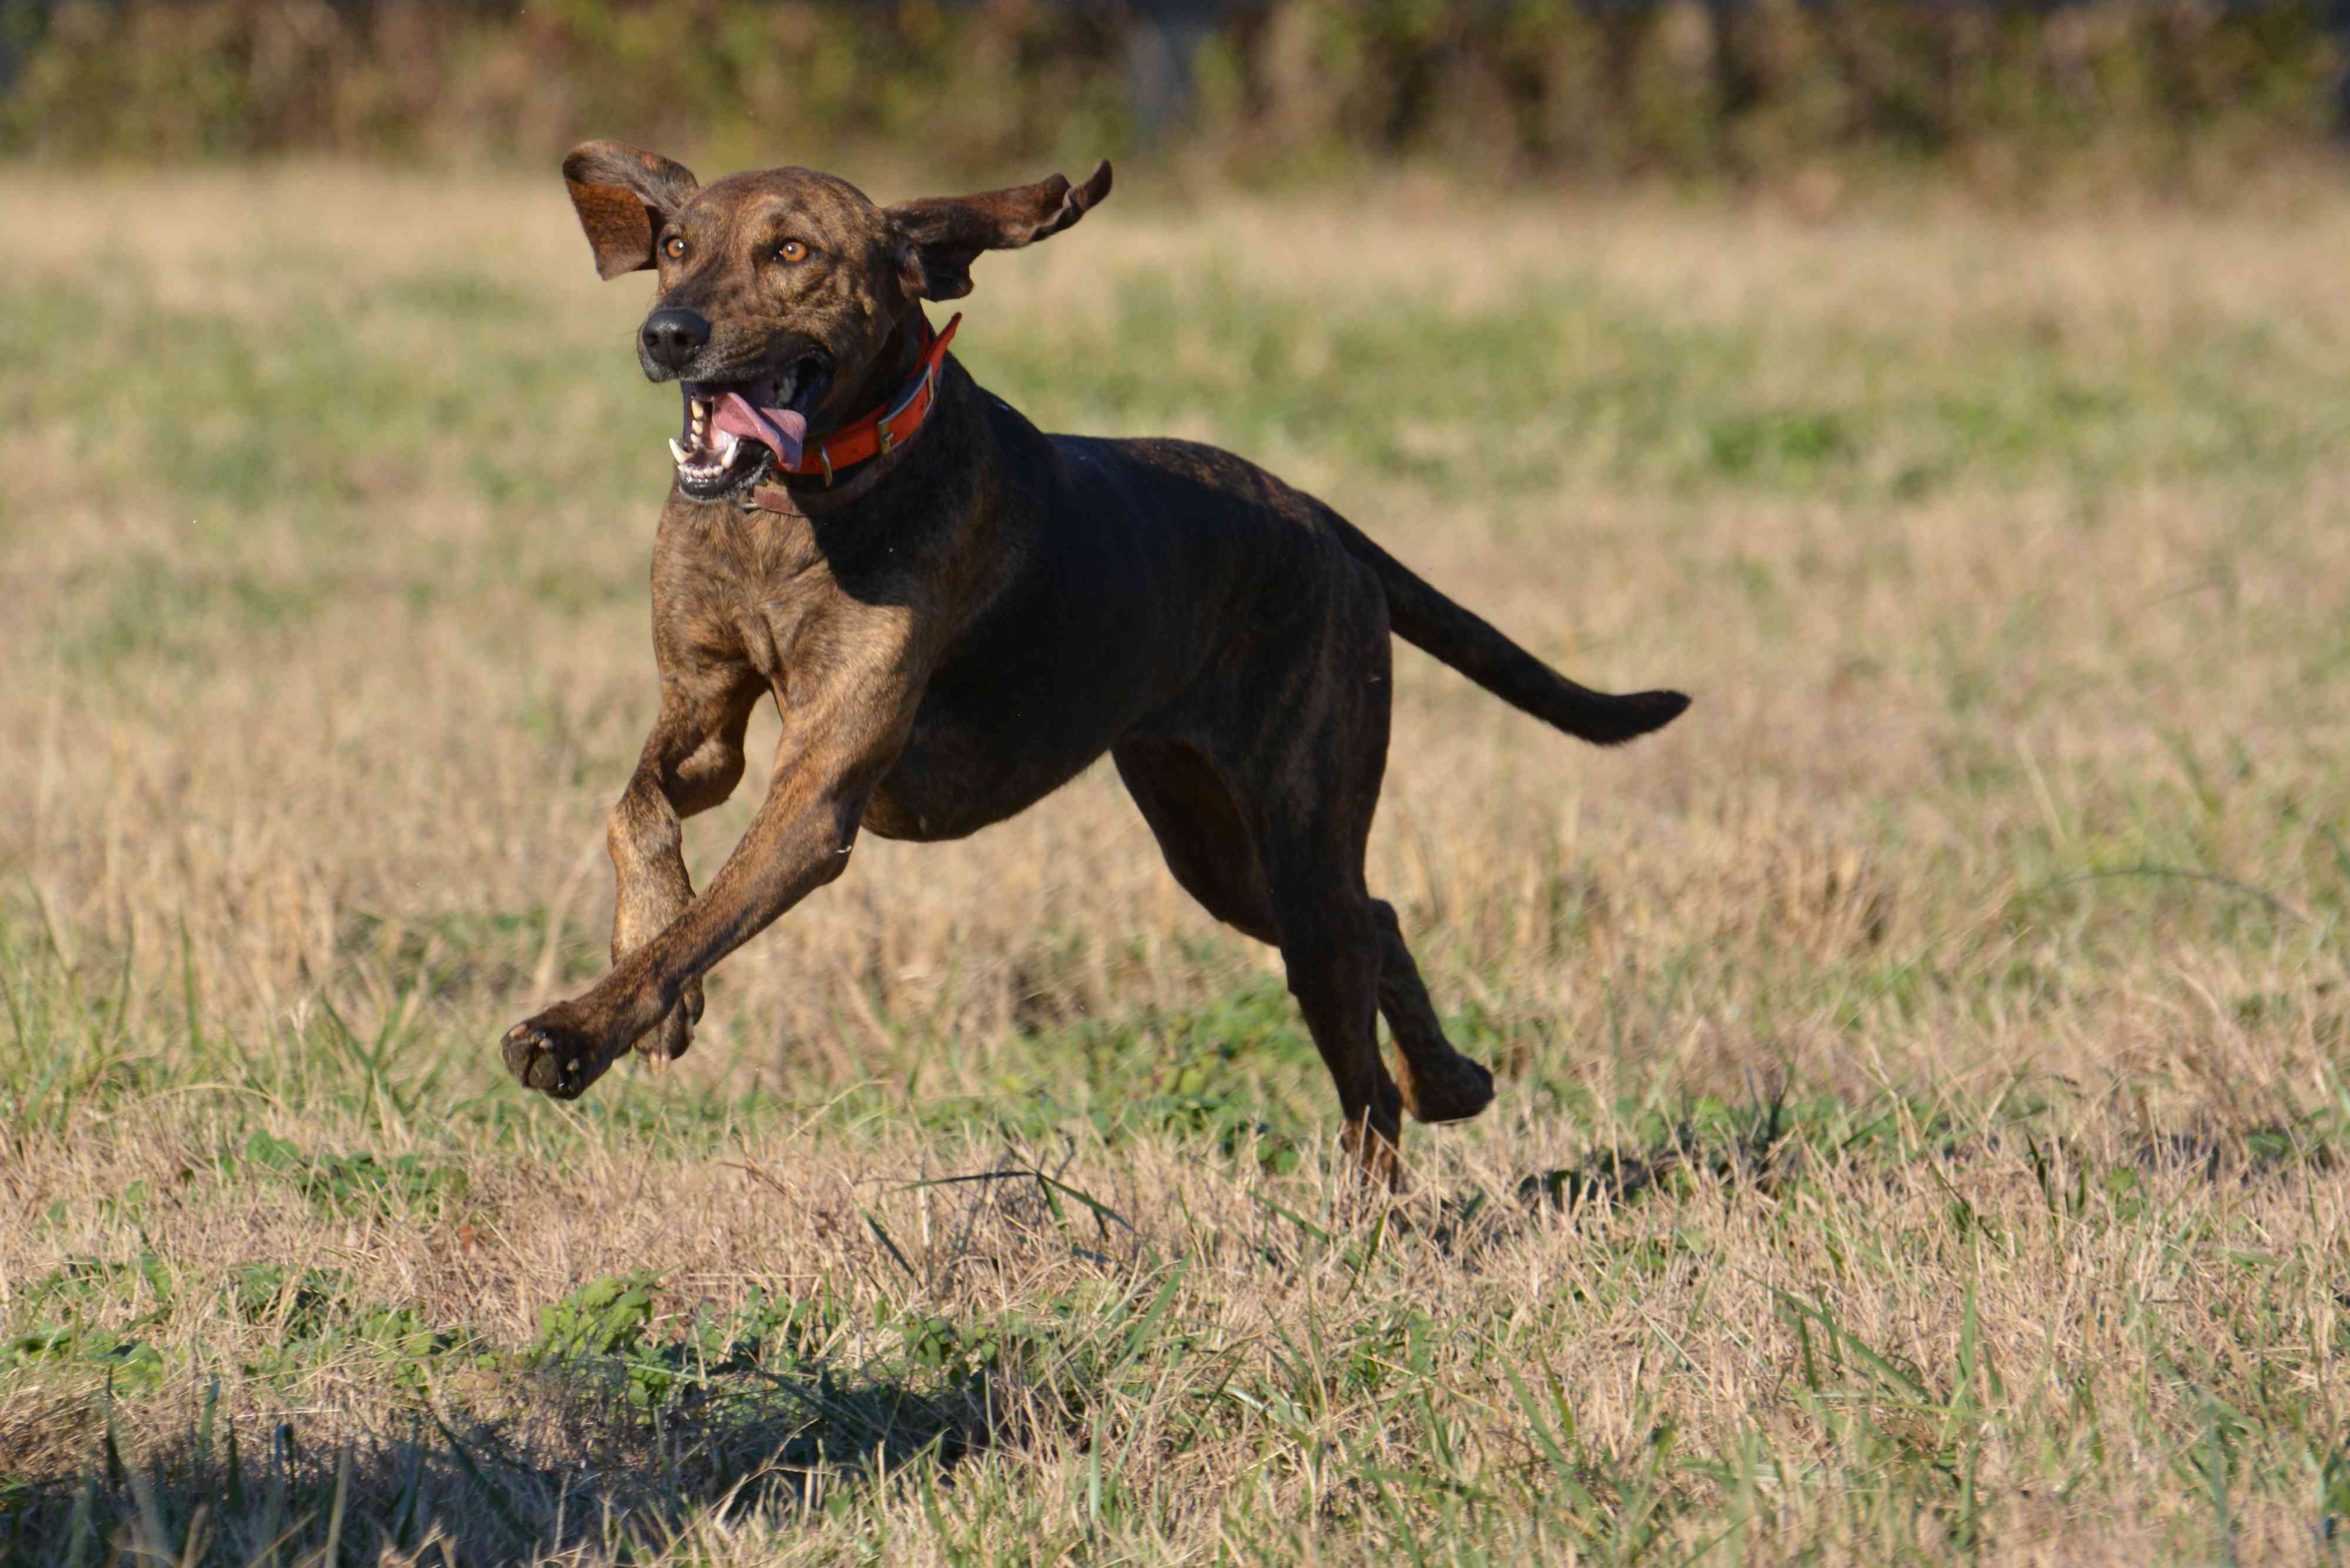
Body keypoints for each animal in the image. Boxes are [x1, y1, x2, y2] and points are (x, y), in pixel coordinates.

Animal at [505, 144, 1692, 1175]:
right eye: (674, 245)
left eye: (791, 251)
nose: (666, 334)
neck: (796, 510)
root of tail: (1322, 521)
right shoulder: (706, 722)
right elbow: (636, 817)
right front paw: (652, 972)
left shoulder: (819, 791)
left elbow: (700, 924)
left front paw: (574, 1032)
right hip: (1214, 849)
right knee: (1380, 920)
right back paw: (1453, 1080)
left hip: (1298, 832)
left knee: (1361, 1059)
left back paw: (1376, 1217)